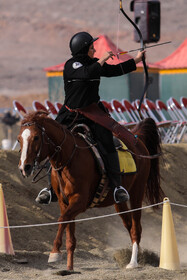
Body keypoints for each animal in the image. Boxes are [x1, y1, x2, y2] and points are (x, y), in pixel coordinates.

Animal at [17, 111, 164, 272]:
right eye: (19, 139)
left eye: (36, 137)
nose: (24, 167)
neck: (69, 158)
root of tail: (137, 139)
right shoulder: (65, 203)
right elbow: (69, 233)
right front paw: (69, 268)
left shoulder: (80, 201)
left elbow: (62, 219)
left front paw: (54, 252)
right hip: (119, 203)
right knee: (129, 225)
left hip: (138, 192)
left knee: (136, 228)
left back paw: (133, 262)